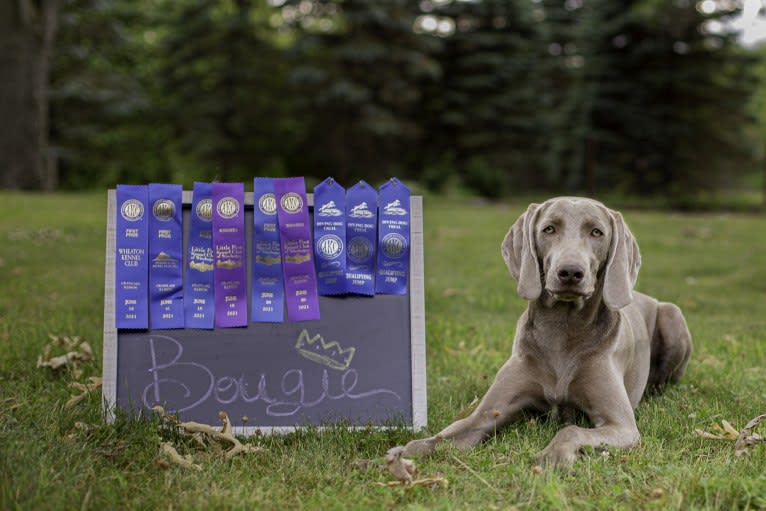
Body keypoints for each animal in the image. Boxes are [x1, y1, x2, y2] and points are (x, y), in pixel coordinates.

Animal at [402, 196, 696, 468]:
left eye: (597, 232)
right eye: (549, 229)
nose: (570, 272)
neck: (561, 331)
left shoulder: (621, 425)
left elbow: (571, 429)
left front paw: (554, 456)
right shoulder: (486, 414)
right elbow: (440, 437)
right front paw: (402, 454)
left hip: (672, 315)